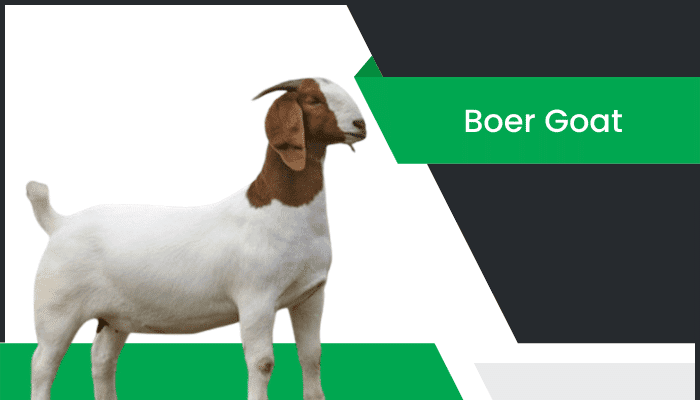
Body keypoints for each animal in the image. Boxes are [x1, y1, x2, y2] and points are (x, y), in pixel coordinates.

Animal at [26, 78, 366, 400]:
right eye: (313, 99)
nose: (360, 125)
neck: (283, 208)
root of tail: (59, 222)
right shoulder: (256, 298)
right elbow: (262, 362)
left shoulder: (311, 294)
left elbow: (311, 355)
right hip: (57, 308)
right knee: (43, 362)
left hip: (115, 316)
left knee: (101, 359)